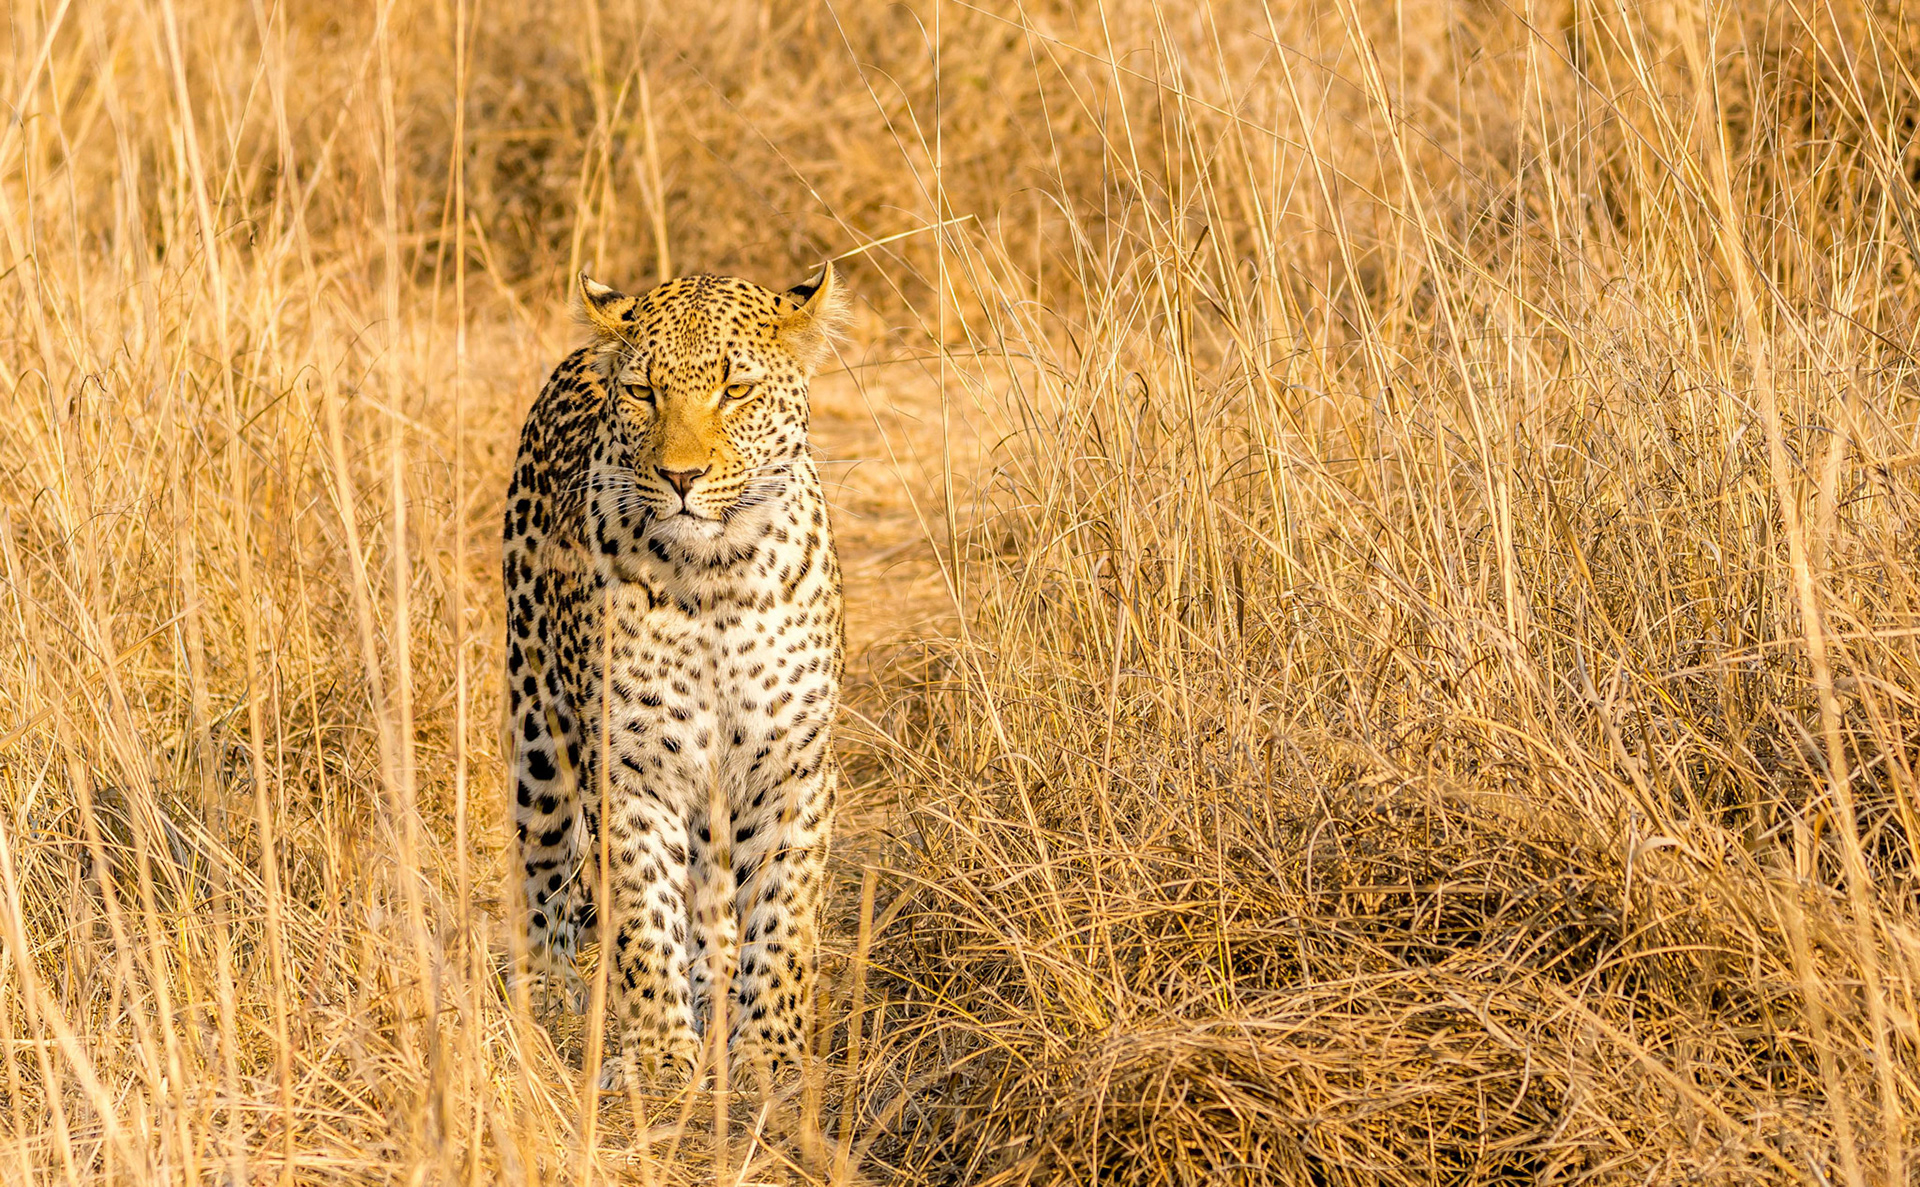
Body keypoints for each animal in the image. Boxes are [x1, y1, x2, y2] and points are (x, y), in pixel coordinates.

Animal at [501, 265, 848, 1090]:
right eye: (642, 392)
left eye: (736, 389)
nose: (681, 476)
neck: (717, 574)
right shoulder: (632, 766)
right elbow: (641, 913)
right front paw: (659, 1052)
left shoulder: (794, 766)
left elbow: (783, 916)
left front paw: (769, 1052)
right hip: (538, 729)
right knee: (546, 873)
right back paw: (551, 996)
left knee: (714, 894)